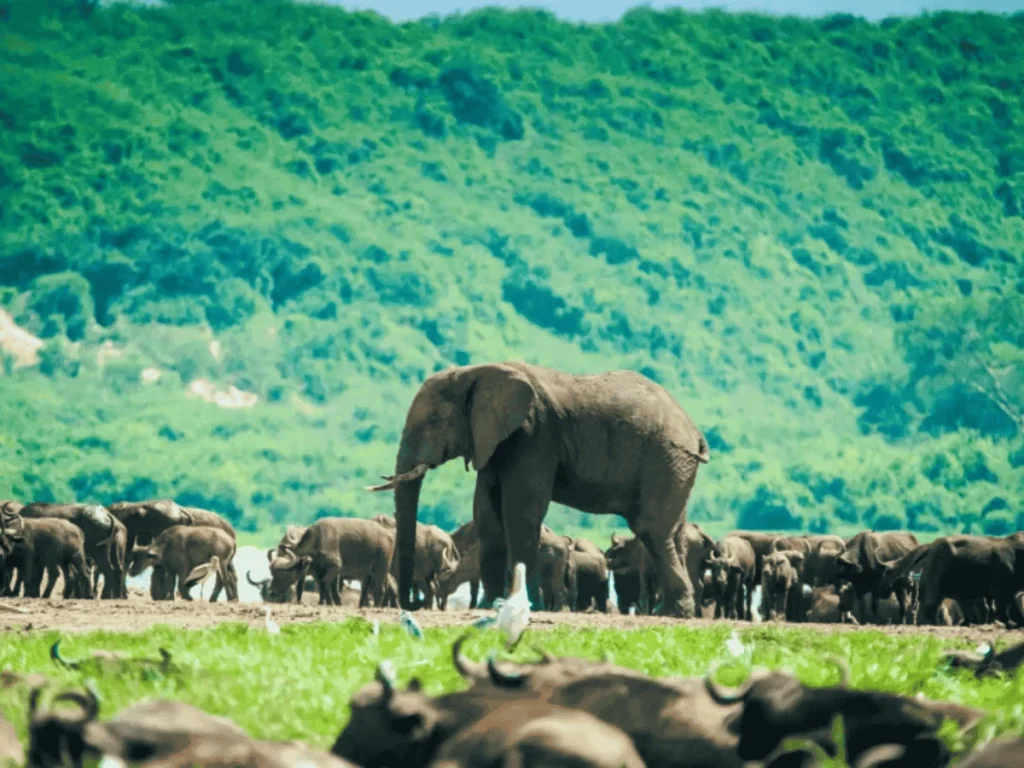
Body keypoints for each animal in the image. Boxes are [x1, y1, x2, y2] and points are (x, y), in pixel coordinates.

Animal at [367, 362, 709, 617]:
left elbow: (520, 512)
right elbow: (487, 514)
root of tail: (694, 431)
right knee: (673, 532)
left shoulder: (533, 435)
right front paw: (489, 606)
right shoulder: (495, 441)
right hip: (675, 465)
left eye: (436, 420)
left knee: (651, 528)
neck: (476, 372)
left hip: (666, 457)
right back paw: (672, 612)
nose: (412, 605)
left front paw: (522, 606)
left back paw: (674, 612)